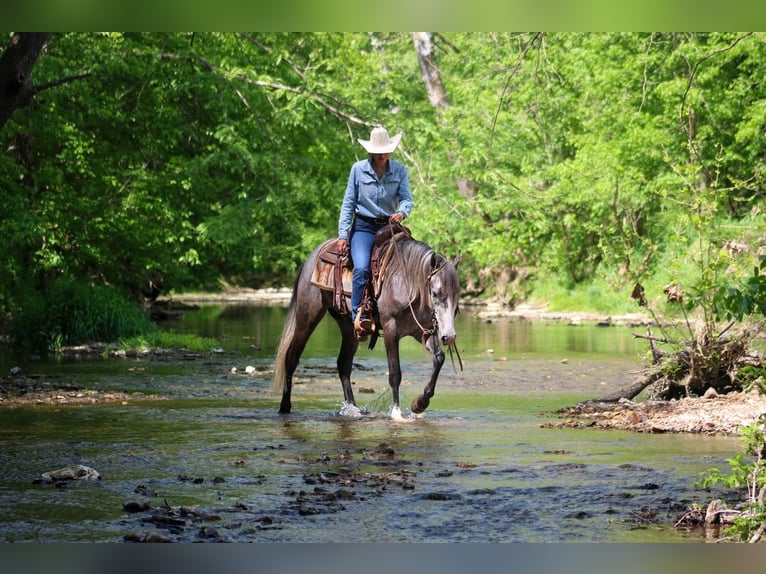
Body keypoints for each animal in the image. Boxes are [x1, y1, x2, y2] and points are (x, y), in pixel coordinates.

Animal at [273, 233, 460, 419]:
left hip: (349, 328)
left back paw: (352, 408)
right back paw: (285, 406)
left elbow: (439, 358)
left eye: (457, 294)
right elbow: (395, 373)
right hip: (307, 318)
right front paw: (396, 412)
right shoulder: (391, 331)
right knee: (291, 358)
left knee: (343, 364)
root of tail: (310, 259)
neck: (407, 284)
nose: (450, 336)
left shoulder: (422, 332)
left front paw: (419, 403)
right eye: (436, 293)